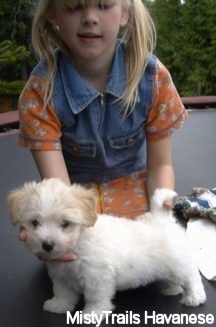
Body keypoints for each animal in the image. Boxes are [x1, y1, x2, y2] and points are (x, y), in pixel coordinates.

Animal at [7, 178, 206, 316]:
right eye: (34, 222)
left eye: (65, 224)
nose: (47, 244)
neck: (79, 244)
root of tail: (161, 219)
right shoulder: (61, 276)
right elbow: (63, 292)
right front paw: (59, 305)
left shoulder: (98, 277)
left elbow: (96, 298)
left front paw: (91, 313)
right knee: (174, 278)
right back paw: (173, 289)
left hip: (178, 263)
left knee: (191, 277)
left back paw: (194, 296)